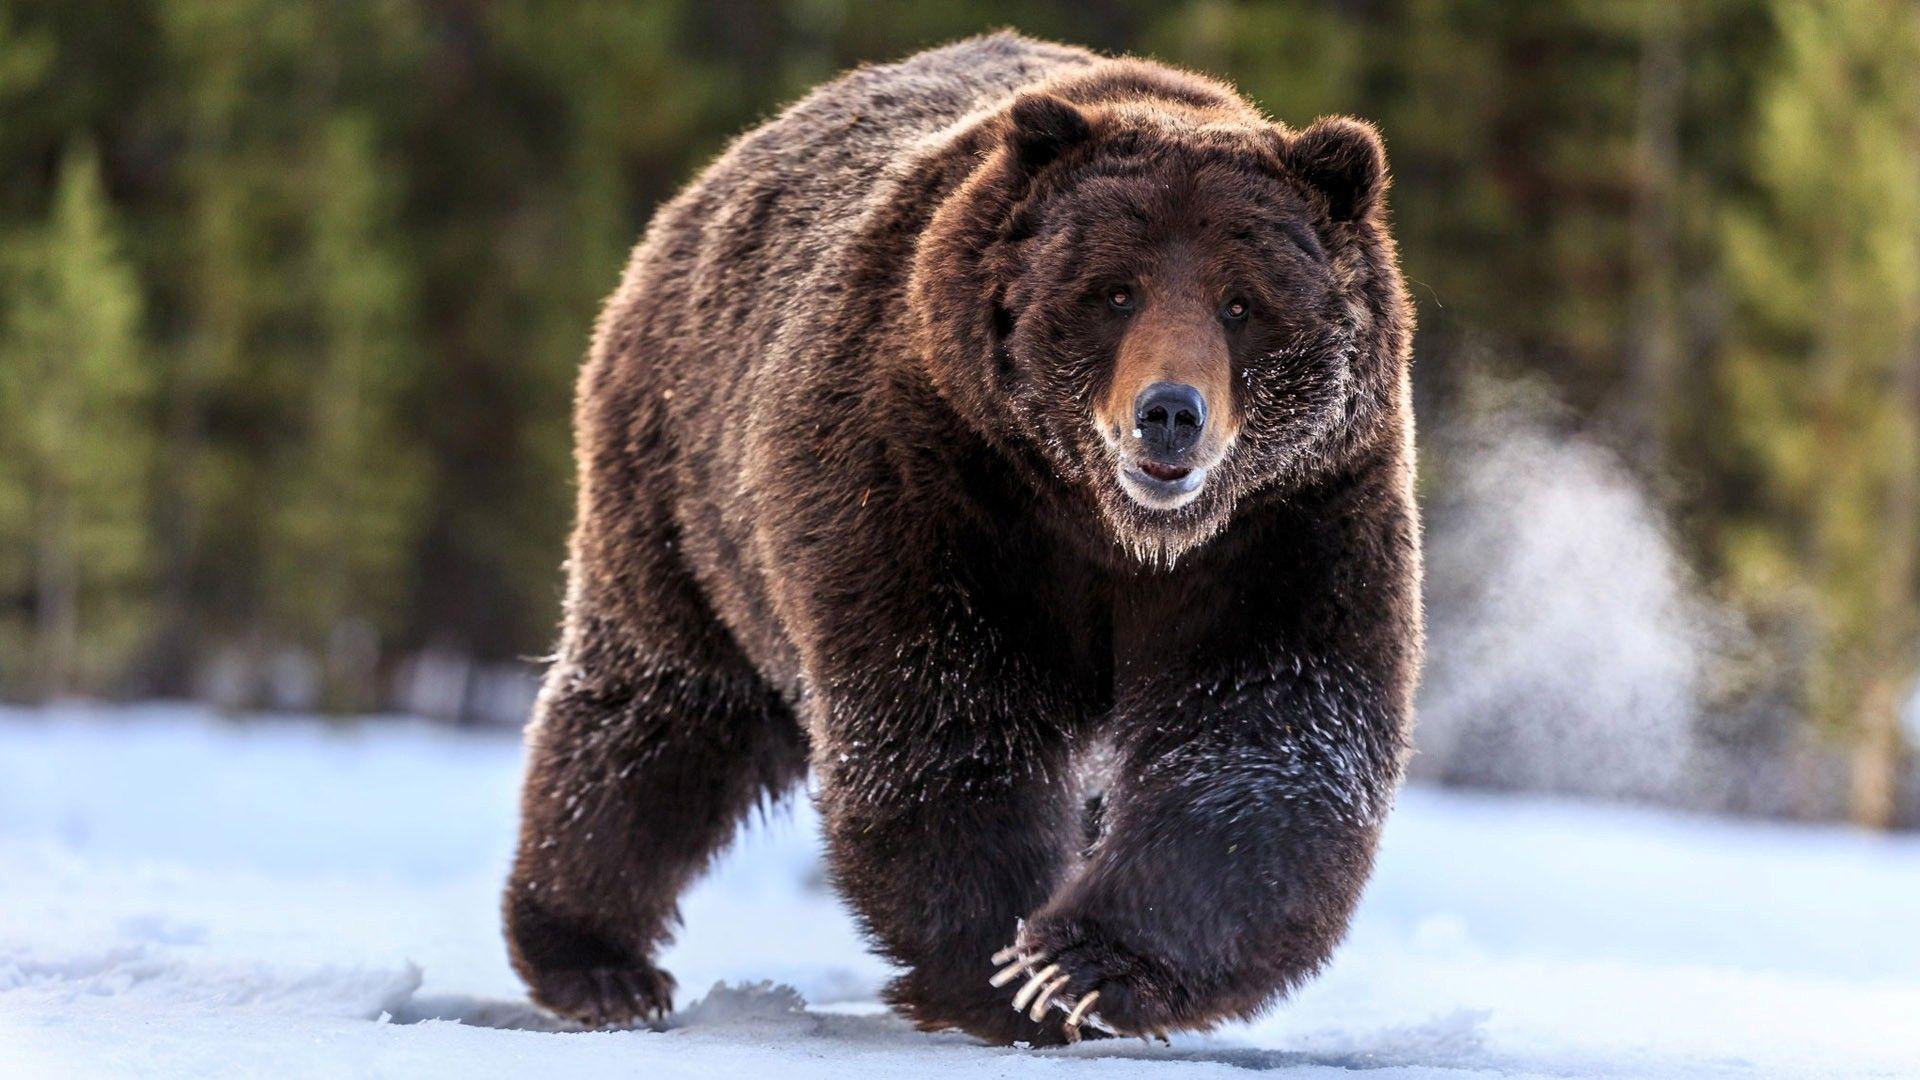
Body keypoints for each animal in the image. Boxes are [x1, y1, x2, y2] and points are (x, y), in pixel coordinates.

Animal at [503, 31, 1421, 1047]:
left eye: (1242, 301)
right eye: (1115, 291)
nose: (1170, 413)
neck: (1116, 531)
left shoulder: (1289, 522)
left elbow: (1264, 737)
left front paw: (1078, 966)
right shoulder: (934, 477)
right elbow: (946, 715)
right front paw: (1002, 964)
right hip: (683, 491)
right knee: (657, 714)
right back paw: (595, 960)